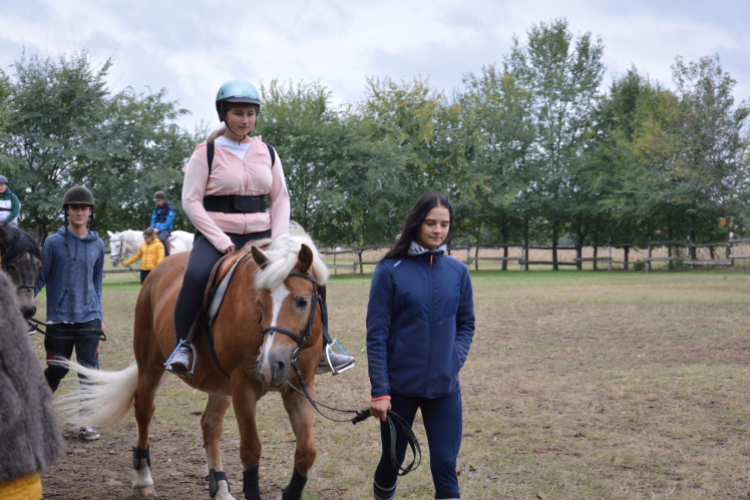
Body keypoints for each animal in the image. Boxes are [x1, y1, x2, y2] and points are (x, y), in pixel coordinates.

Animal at [57, 228, 328, 500]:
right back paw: (143, 477)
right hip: (150, 365)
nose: (269, 365)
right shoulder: (243, 387)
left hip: (221, 384)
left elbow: (307, 452)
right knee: (144, 409)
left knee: (210, 425)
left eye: (302, 301)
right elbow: (251, 450)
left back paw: (220, 487)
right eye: (260, 302)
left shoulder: (302, 388)